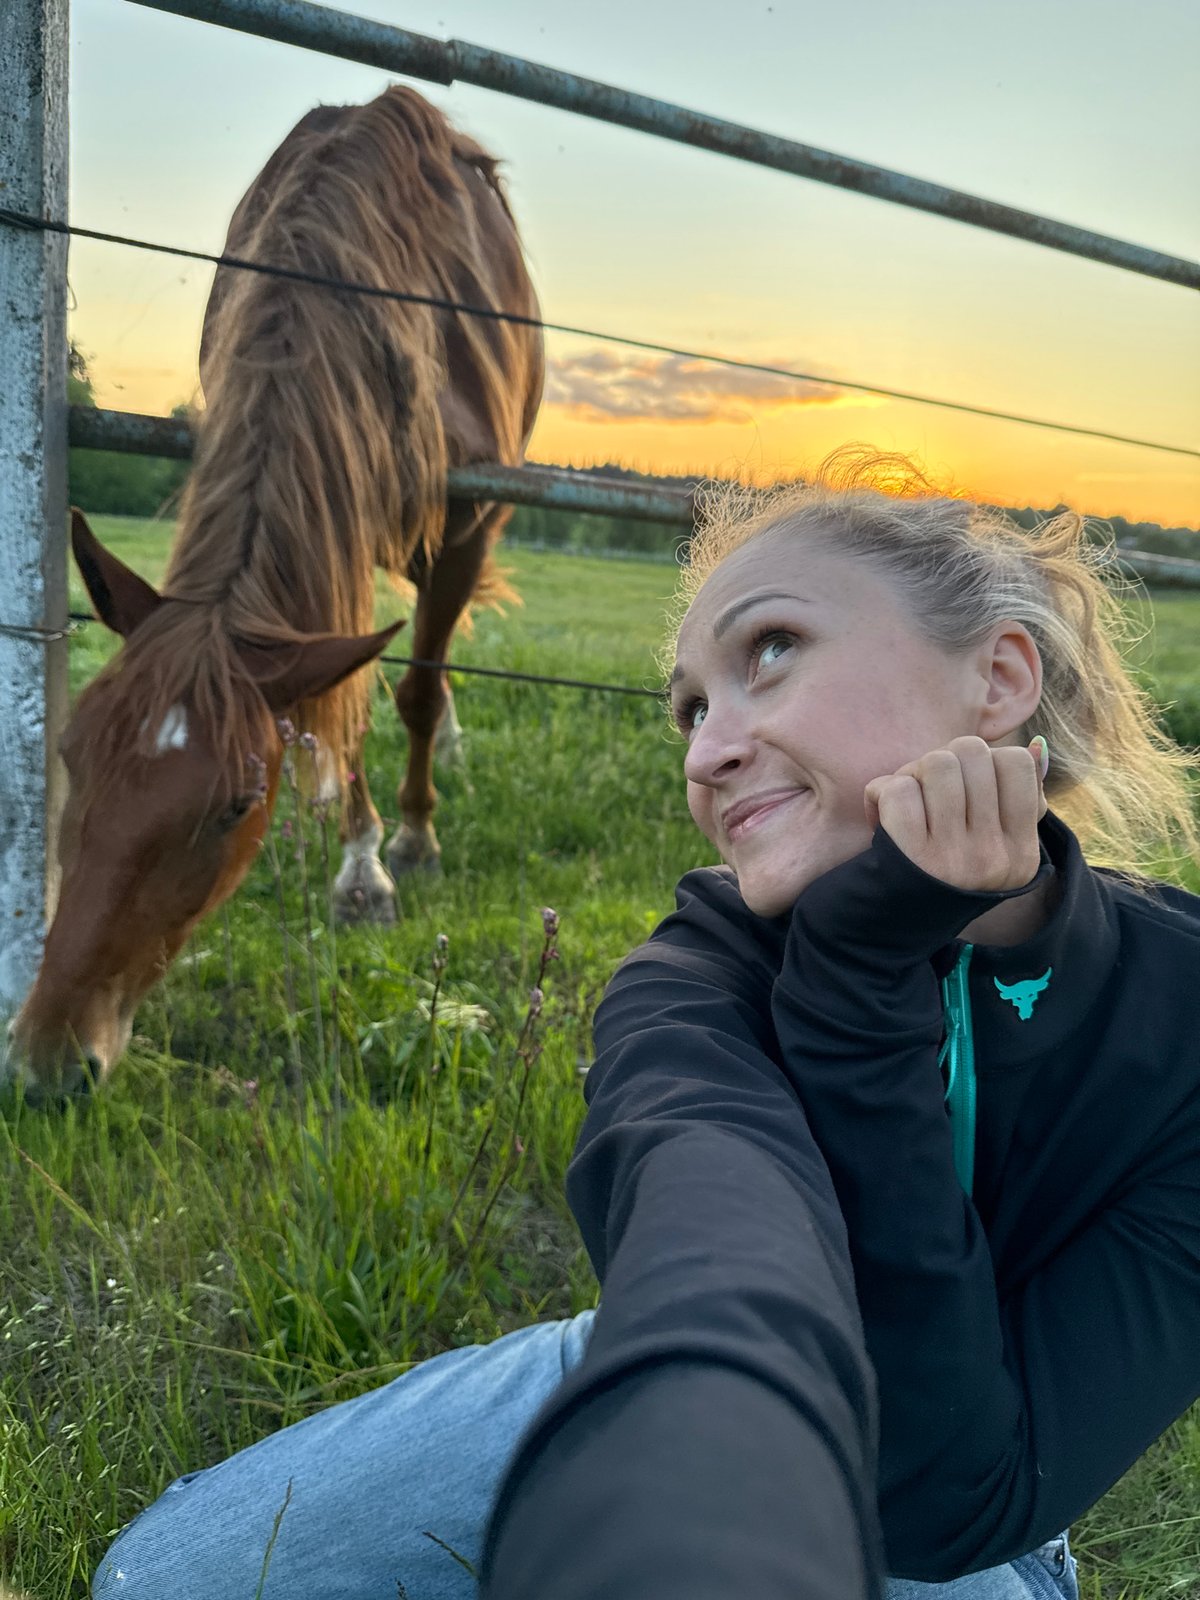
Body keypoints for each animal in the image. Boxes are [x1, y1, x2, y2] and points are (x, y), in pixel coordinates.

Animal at [6, 85, 544, 1097]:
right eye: (68, 756)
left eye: (232, 808)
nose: (48, 1062)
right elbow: (349, 691)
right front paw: (359, 851)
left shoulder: (464, 522)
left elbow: (405, 690)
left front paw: (394, 854)